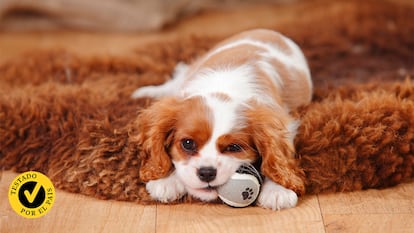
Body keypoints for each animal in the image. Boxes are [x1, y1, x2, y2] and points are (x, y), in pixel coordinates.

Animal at [131, 28, 312, 210]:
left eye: (233, 147)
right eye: (188, 143)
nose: (206, 172)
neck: (222, 88)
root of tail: (267, 31)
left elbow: (279, 155)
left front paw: (278, 189)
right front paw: (167, 180)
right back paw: (145, 92)